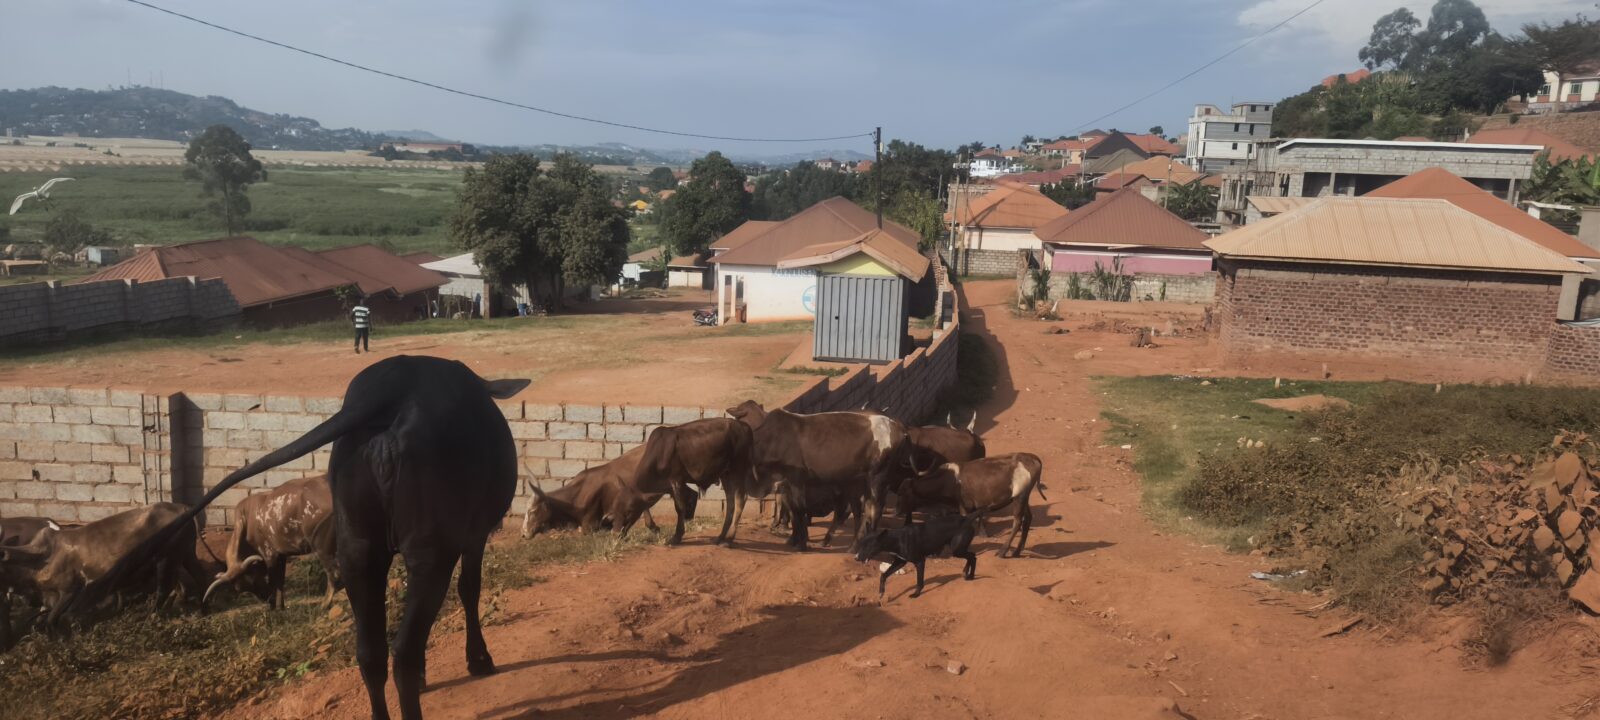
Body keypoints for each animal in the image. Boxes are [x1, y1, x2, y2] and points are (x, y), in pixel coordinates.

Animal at [204, 475, 339, 609]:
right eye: (241, 588)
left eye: (253, 578)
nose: (267, 599)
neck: (246, 520)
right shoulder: (281, 555)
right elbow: (280, 581)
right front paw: (281, 606)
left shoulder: (269, 555)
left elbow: (275, 581)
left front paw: (276, 607)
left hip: (322, 547)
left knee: (334, 574)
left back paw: (324, 604)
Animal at [631, 417, 757, 546]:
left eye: (631, 507)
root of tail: (744, 426)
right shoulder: (675, 485)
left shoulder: (676, 480)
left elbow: (680, 508)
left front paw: (676, 537)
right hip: (726, 474)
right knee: (730, 502)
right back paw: (720, 537)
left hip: (738, 470)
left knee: (740, 500)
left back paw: (729, 538)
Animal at [727, 401, 909, 551]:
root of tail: (897, 427)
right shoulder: (786, 484)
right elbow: (793, 510)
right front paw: (794, 539)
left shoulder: (796, 480)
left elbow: (799, 509)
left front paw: (801, 543)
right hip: (860, 483)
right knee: (859, 510)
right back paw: (849, 545)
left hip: (877, 478)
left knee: (872, 510)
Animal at [896, 453, 1047, 558]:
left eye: (903, 493)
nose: (896, 512)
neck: (949, 480)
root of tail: (1031, 459)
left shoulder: (964, 508)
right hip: (1024, 499)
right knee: (1028, 519)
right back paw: (1016, 551)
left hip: (1019, 498)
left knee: (1017, 522)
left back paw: (1003, 551)